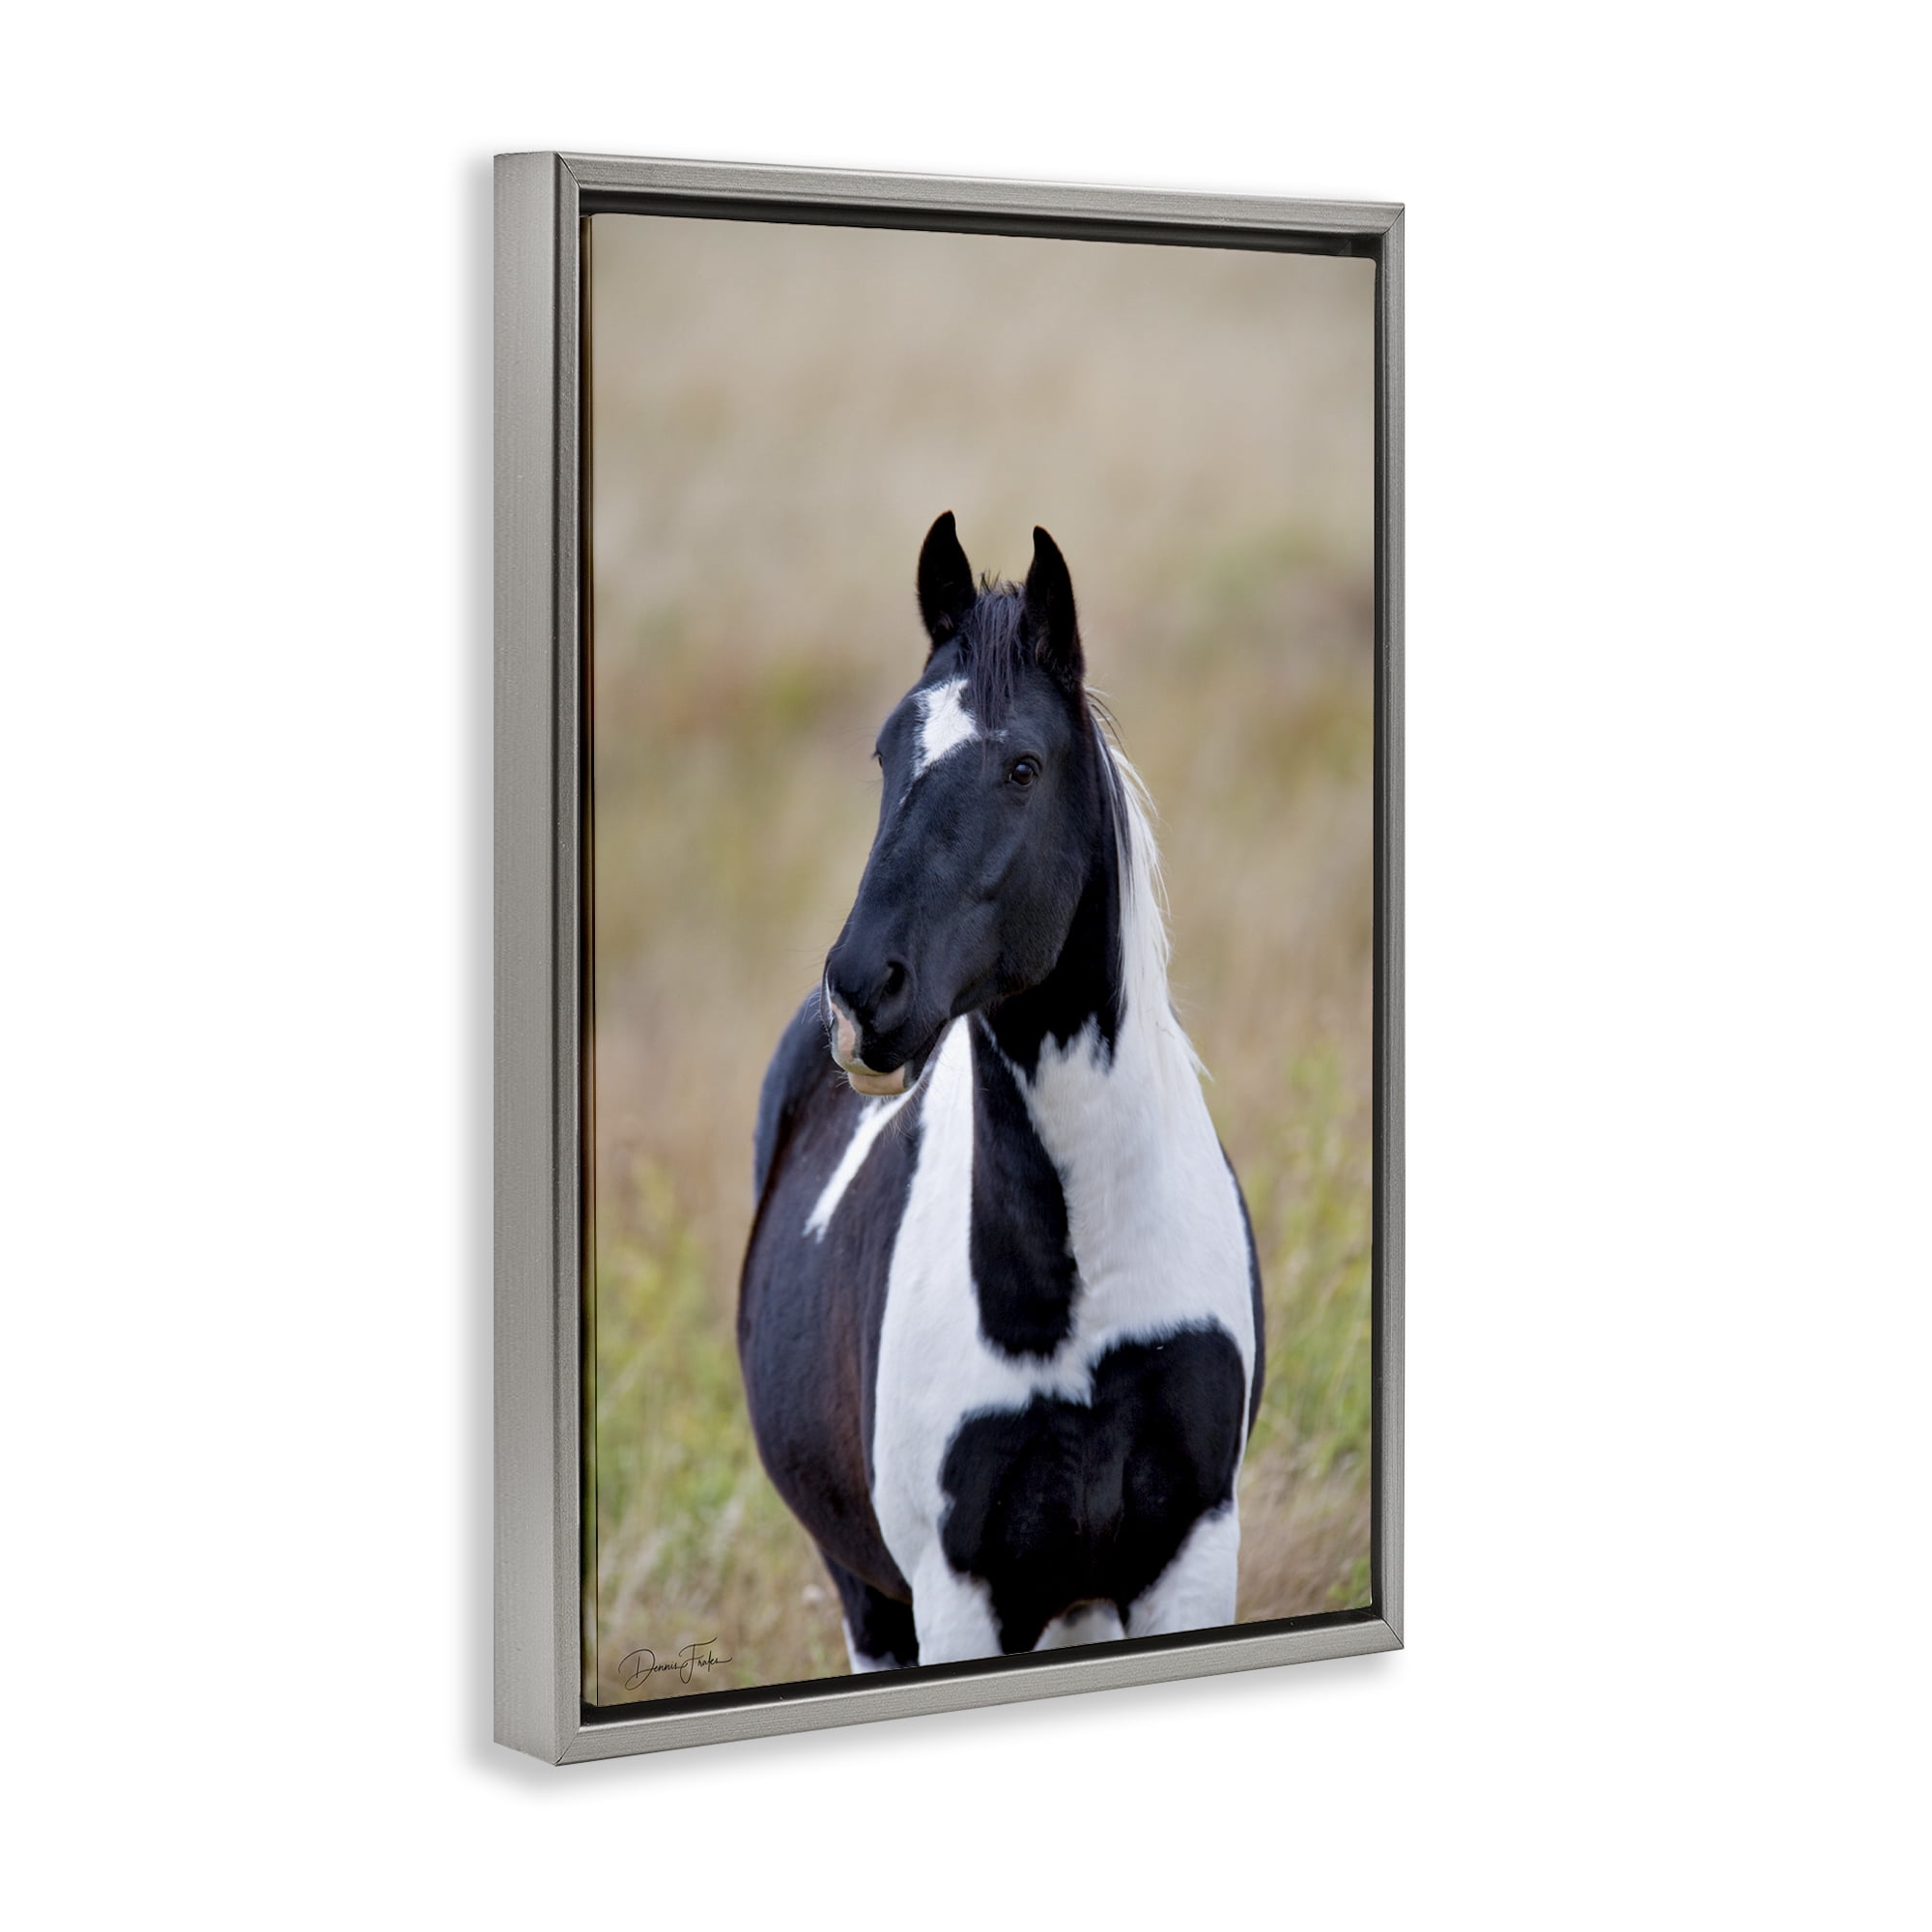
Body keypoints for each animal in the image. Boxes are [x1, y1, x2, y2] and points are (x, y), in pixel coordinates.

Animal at [738, 512, 1264, 1671]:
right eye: (887, 753)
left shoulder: (1189, 1555)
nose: (861, 994)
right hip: (870, 1597)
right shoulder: (958, 1596)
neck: (1078, 1298)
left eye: (1022, 765)